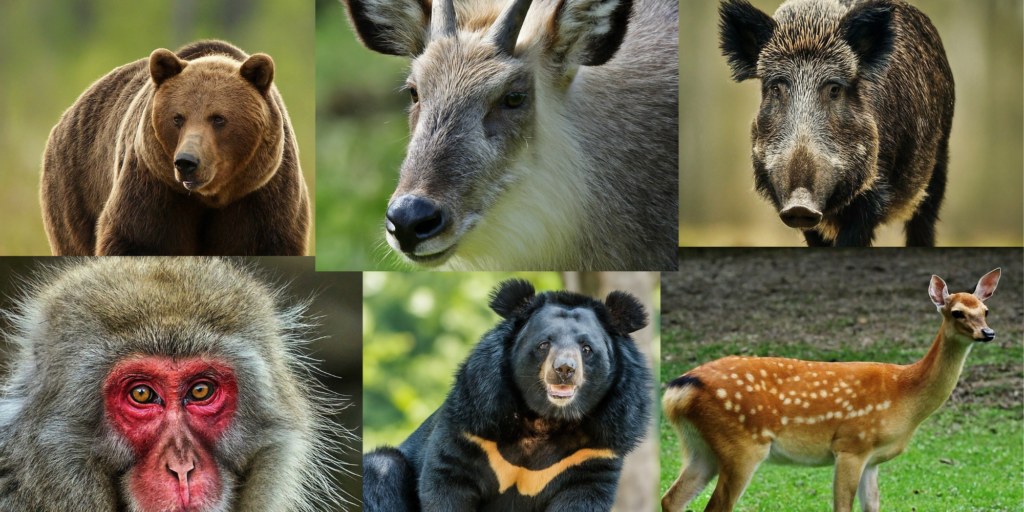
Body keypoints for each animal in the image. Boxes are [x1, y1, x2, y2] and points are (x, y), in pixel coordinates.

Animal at [39, 40, 309, 256]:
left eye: (218, 118)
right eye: (177, 118)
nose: (187, 161)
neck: (210, 197)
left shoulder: (260, 196)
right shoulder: (154, 187)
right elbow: (136, 239)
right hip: (75, 188)